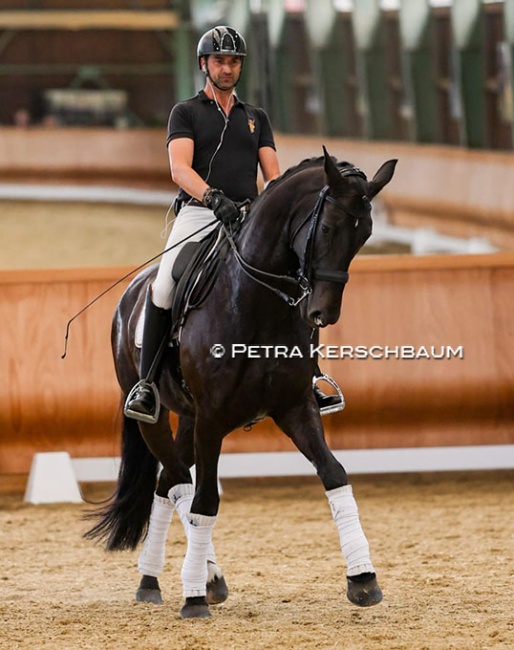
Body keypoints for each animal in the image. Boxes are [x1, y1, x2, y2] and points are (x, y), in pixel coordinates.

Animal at [86, 148, 394, 616]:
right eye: (326, 228)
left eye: (365, 236)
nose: (322, 314)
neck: (255, 303)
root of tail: (133, 293)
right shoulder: (214, 419)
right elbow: (204, 501)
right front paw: (194, 599)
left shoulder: (295, 407)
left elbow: (335, 474)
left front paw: (362, 578)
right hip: (155, 417)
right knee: (179, 483)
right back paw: (194, 579)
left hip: (189, 419)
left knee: (167, 483)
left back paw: (158, 579)